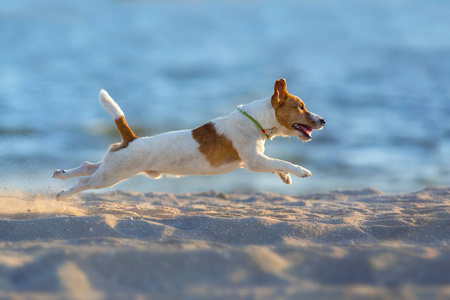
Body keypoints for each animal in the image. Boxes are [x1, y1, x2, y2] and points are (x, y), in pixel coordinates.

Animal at [54, 79, 326, 200]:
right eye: (301, 107)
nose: (323, 120)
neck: (255, 120)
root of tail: (132, 139)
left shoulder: (258, 160)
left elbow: (277, 165)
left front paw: (286, 177)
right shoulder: (254, 162)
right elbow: (281, 161)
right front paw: (300, 171)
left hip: (112, 166)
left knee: (88, 166)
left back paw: (62, 174)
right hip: (112, 176)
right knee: (86, 181)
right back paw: (63, 195)